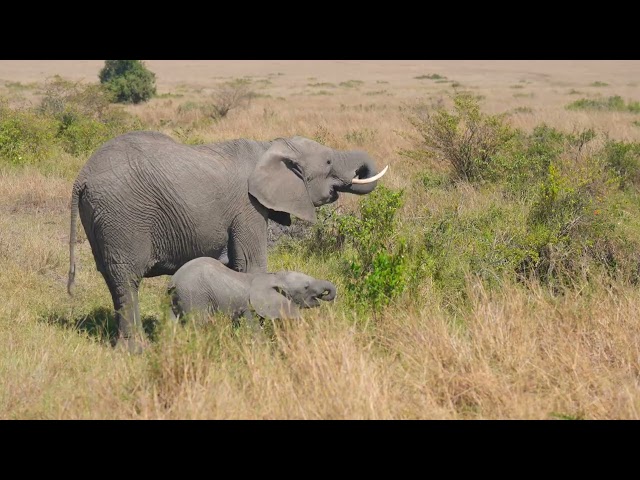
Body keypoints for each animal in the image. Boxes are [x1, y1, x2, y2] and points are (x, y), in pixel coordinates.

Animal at [168, 258, 338, 326]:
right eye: (306, 287)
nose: (326, 293)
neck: (274, 277)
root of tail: (174, 279)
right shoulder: (248, 308)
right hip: (193, 295)